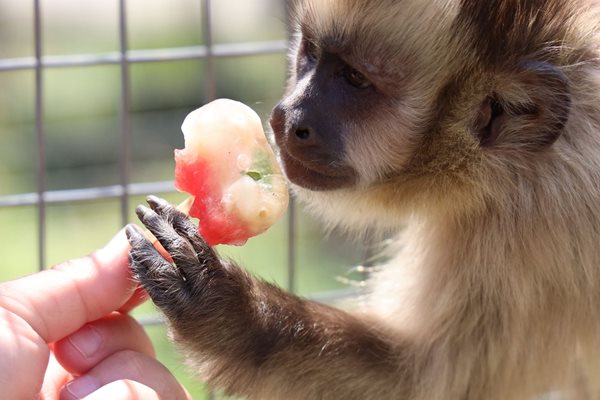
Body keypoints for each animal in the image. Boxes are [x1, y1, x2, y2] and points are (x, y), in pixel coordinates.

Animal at [125, 0, 600, 398]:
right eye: (312, 55)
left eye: (355, 79)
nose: (287, 117)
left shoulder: (541, 223)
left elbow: (435, 382)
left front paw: (226, 311)